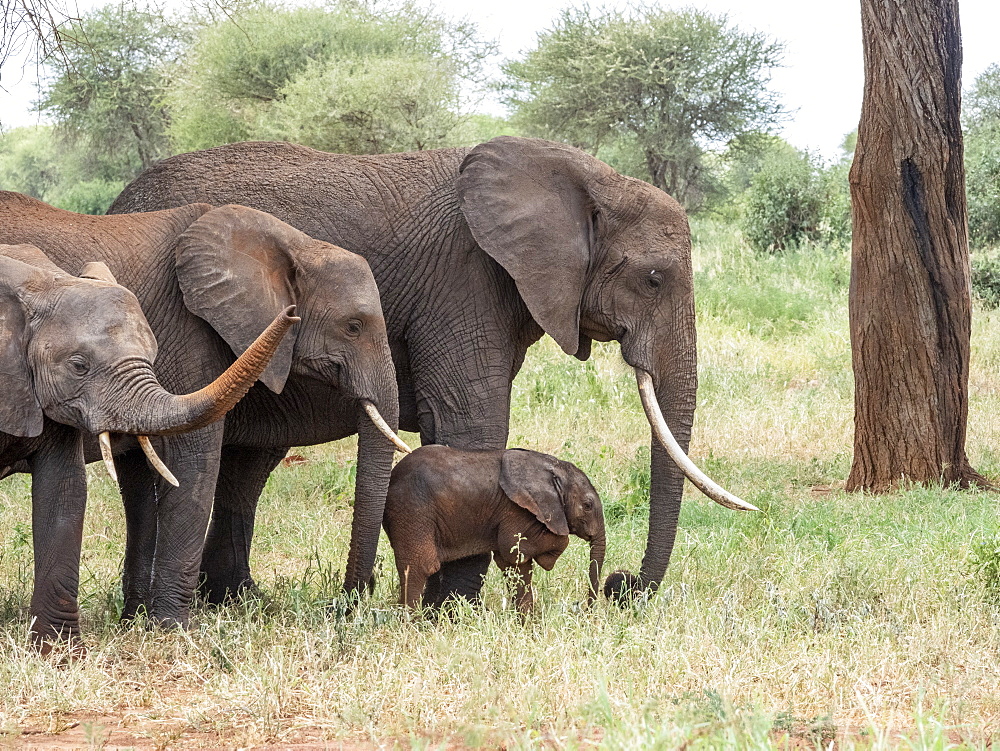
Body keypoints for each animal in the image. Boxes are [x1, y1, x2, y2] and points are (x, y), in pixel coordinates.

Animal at [382, 446, 604, 612]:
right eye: (587, 505)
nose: (587, 611)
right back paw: (412, 625)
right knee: (419, 566)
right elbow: (513, 548)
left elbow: (515, 565)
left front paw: (527, 626)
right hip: (412, 509)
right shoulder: (516, 511)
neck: (553, 467)